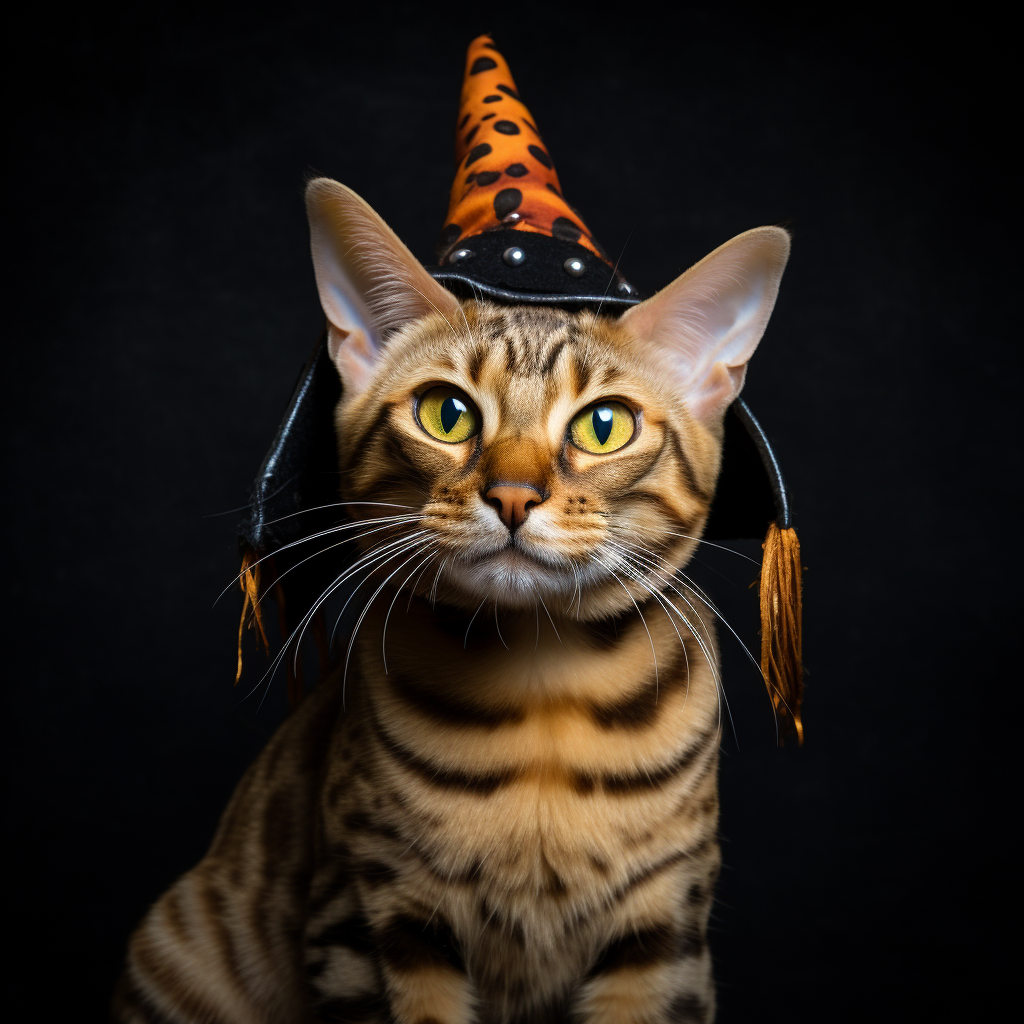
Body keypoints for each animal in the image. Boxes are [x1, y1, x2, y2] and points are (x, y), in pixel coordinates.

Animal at [112, 178, 786, 1024]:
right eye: (447, 412)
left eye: (604, 426)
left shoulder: (665, 937)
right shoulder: (369, 916)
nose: (513, 494)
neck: (543, 689)